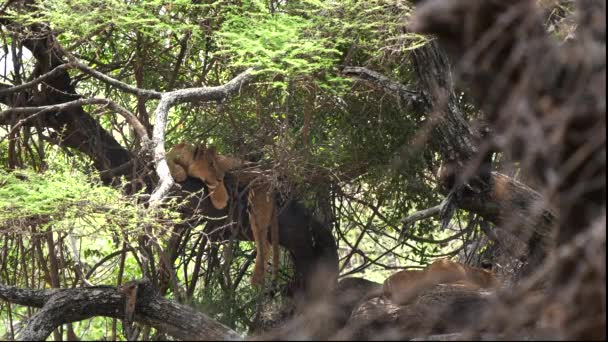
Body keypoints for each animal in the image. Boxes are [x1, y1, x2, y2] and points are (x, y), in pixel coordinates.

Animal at [166, 141, 280, 286]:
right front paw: (179, 172)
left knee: (265, 245)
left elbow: (217, 188)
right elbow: (168, 161)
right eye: (210, 164)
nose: (221, 178)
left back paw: (256, 279)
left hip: (257, 200)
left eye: (216, 163)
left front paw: (220, 198)